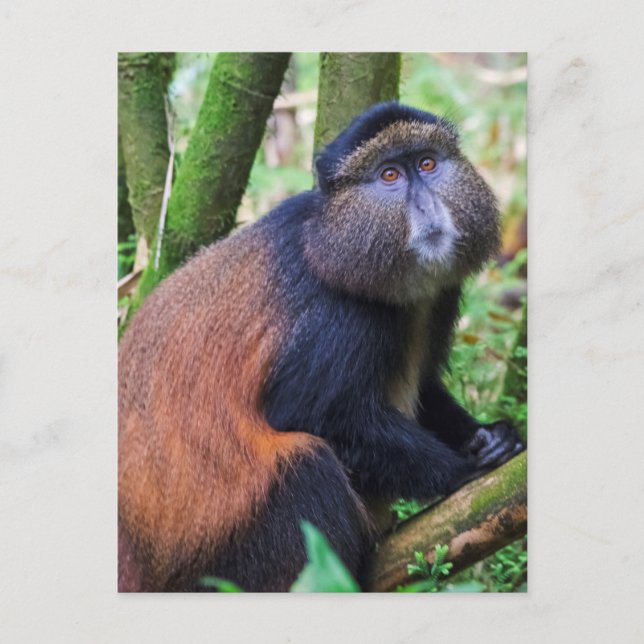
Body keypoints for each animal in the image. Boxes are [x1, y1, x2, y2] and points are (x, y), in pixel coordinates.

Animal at [118, 101, 524, 593]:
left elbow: (427, 387)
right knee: (307, 464)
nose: (427, 206)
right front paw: (463, 470)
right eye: (389, 175)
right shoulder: (336, 317)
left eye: (427, 164)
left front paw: (490, 436)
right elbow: (308, 413)